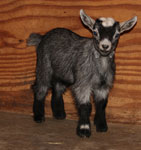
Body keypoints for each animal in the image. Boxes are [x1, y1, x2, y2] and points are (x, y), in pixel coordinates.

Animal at [26, 9, 137, 138]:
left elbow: (101, 104)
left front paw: (101, 125)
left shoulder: (103, 85)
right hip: (44, 65)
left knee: (58, 88)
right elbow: (85, 106)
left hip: (62, 71)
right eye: (95, 32)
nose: (105, 46)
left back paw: (59, 114)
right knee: (41, 88)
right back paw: (39, 116)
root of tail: (42, 37)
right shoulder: (83, 83)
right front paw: (84, 129)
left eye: (117, 34)